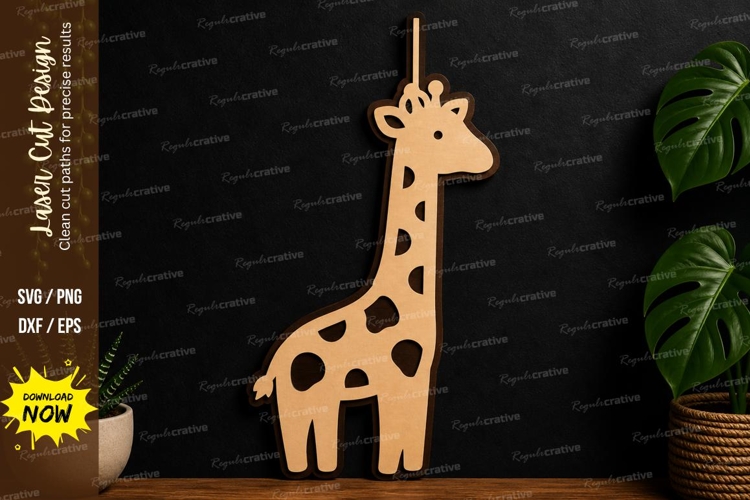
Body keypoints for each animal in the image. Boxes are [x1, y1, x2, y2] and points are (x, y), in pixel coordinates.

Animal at [248, 13, 499, 479]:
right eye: (439, 133)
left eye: (462, 124)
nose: (486, 158)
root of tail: (271, 367)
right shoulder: (399, 381)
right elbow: (392, 444)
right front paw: (386, 476)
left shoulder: (418, 380)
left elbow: (411, 440)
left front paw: (407, 473)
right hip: (299, 401)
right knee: (298, 445)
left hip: (317, 401)